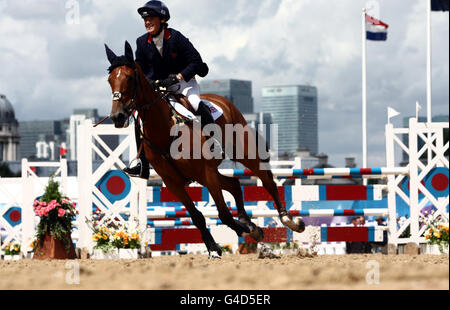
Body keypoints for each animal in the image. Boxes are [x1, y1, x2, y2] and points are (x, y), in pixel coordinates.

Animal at [103, 41, 304, 260]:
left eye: (130, 77)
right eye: (110, 80)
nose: (117, 117)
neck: (164, 129)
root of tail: (223, 100)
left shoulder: (205, 172)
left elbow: (223, 213)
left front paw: (243, 232)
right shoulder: (173, 182)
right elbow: (197, 216)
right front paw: (216, 246)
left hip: (240, 155)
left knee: (267, 180)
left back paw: (288, 220)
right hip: (204, 175)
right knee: (234, 184)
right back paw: (248, 222)